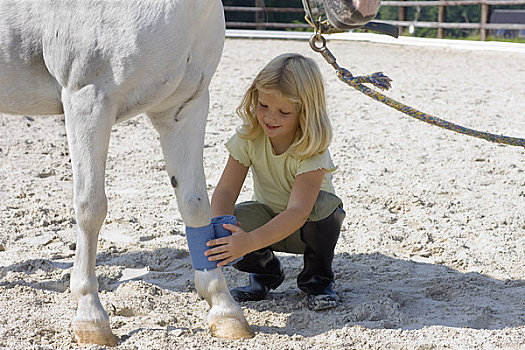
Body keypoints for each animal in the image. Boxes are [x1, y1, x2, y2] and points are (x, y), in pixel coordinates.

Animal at [0, 0, 376, 346]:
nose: (362, 8)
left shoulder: (183, 108)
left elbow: (196, 205)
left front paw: (225, 311)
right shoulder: (87, 101)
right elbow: (91, 208)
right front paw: (91, 317)